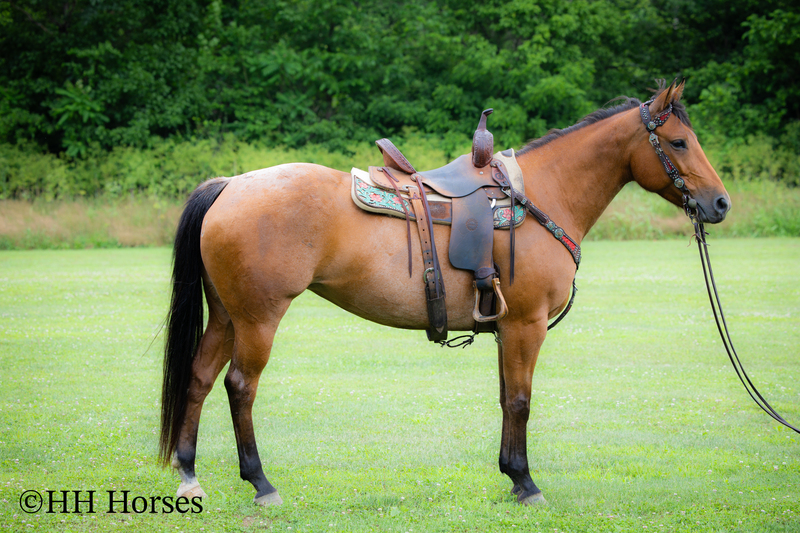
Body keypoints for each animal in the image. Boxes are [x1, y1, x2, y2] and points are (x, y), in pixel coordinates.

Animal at [159, 79, 731, 506]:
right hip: (258, 317)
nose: (720, 203)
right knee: (240, 386)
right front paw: (526, 482)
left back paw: (189, 475)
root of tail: (231, 184)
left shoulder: (505, 327)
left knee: (200, 377)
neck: (541, 197)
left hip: (227, 315)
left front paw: (510, 474)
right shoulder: (525, 324)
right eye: (679, 142)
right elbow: (521, 400)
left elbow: (506, 398)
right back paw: (260, 482)